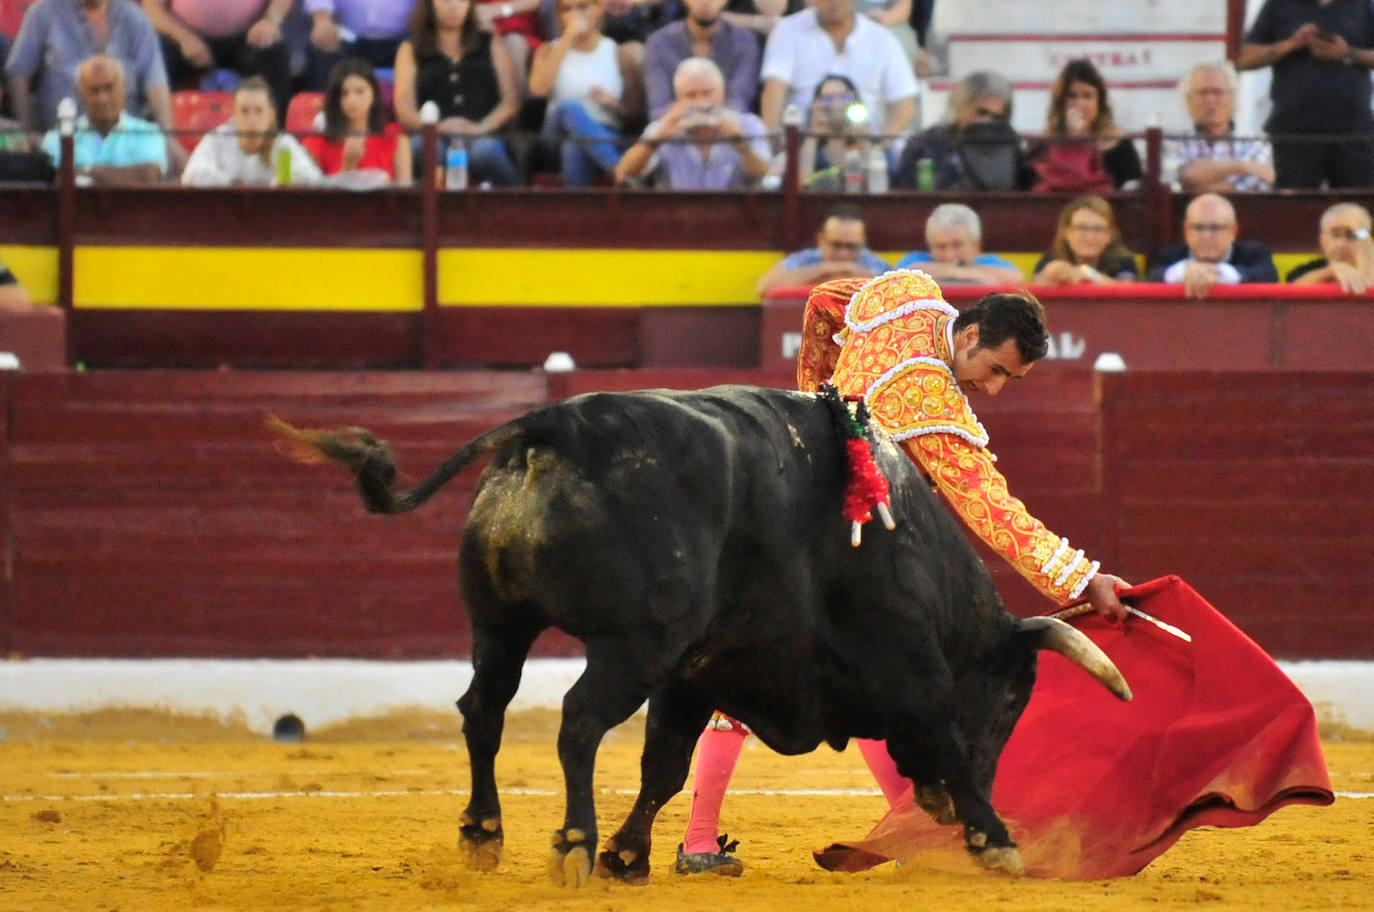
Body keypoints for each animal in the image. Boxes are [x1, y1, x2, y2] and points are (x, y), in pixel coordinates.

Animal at [273, 381, 1132, 884]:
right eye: (1012, 702)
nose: (954, 813)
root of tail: (558, 423)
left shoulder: (696, 674)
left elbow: (664, 765)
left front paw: (629, 854)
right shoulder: (911, 670)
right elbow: (945, 740)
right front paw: (998, 839)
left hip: (501, 624)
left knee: (483, 711)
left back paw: (485, 834)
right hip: (630, 644)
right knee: (577, 722)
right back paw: (570, 842)